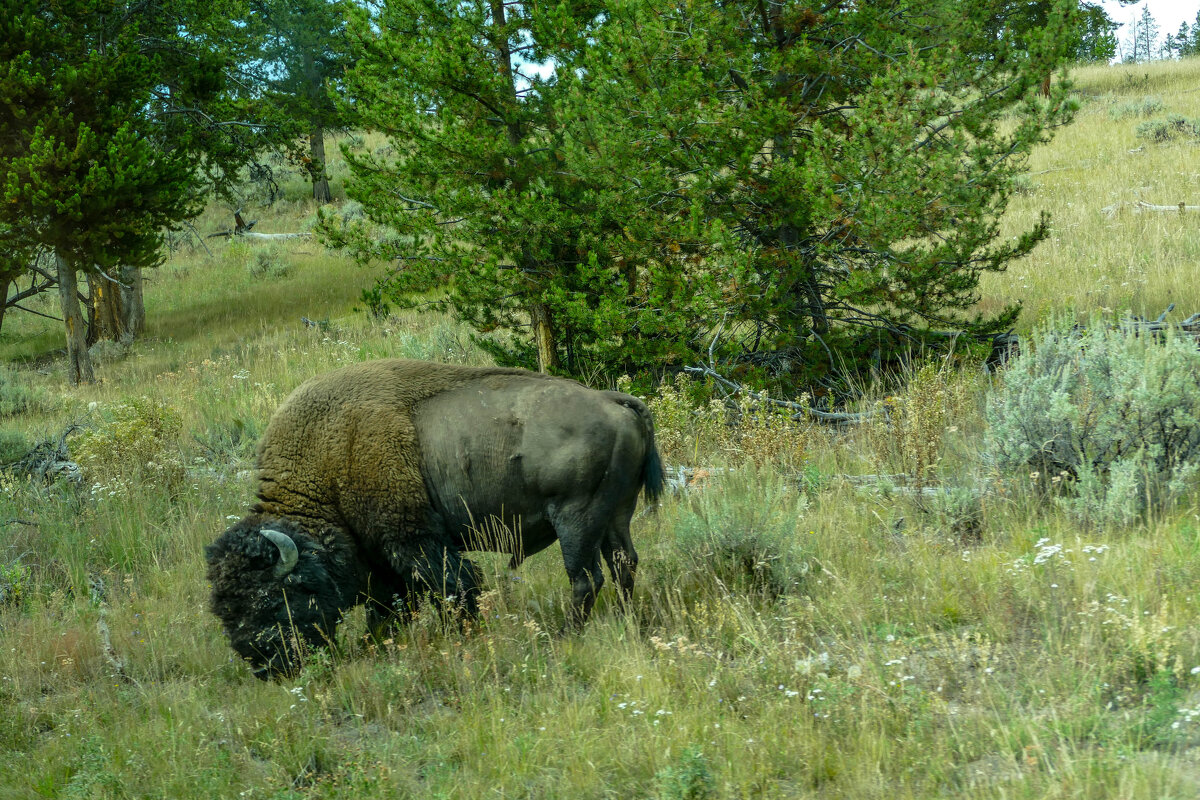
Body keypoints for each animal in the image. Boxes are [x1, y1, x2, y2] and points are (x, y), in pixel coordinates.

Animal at [201, 359, 662, 681]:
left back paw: (564, 638)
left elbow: (453, 585)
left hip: (576, 519)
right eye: (223, 609)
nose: (267, 668)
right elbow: (392, 608)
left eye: (270, 600)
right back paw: (624, 622)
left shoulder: (412, 540)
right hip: (615, 516)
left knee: (586, 579)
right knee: (623, 565)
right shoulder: (385, 561)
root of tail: (612, 401)